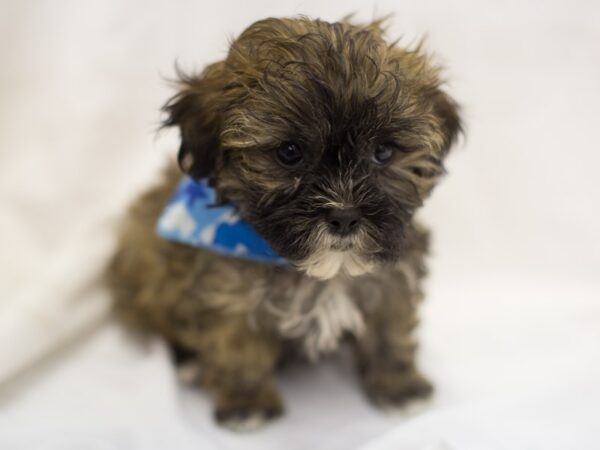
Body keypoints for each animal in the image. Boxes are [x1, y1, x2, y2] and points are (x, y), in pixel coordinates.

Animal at [106, 16, 460, 432]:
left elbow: (390, 329)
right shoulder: (227, 293)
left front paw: (399, 385)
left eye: (383, 152)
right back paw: (190, 363)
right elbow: (236, 345)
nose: (344, 215)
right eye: (290, 152)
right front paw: (247, 402)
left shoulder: (392, 276)